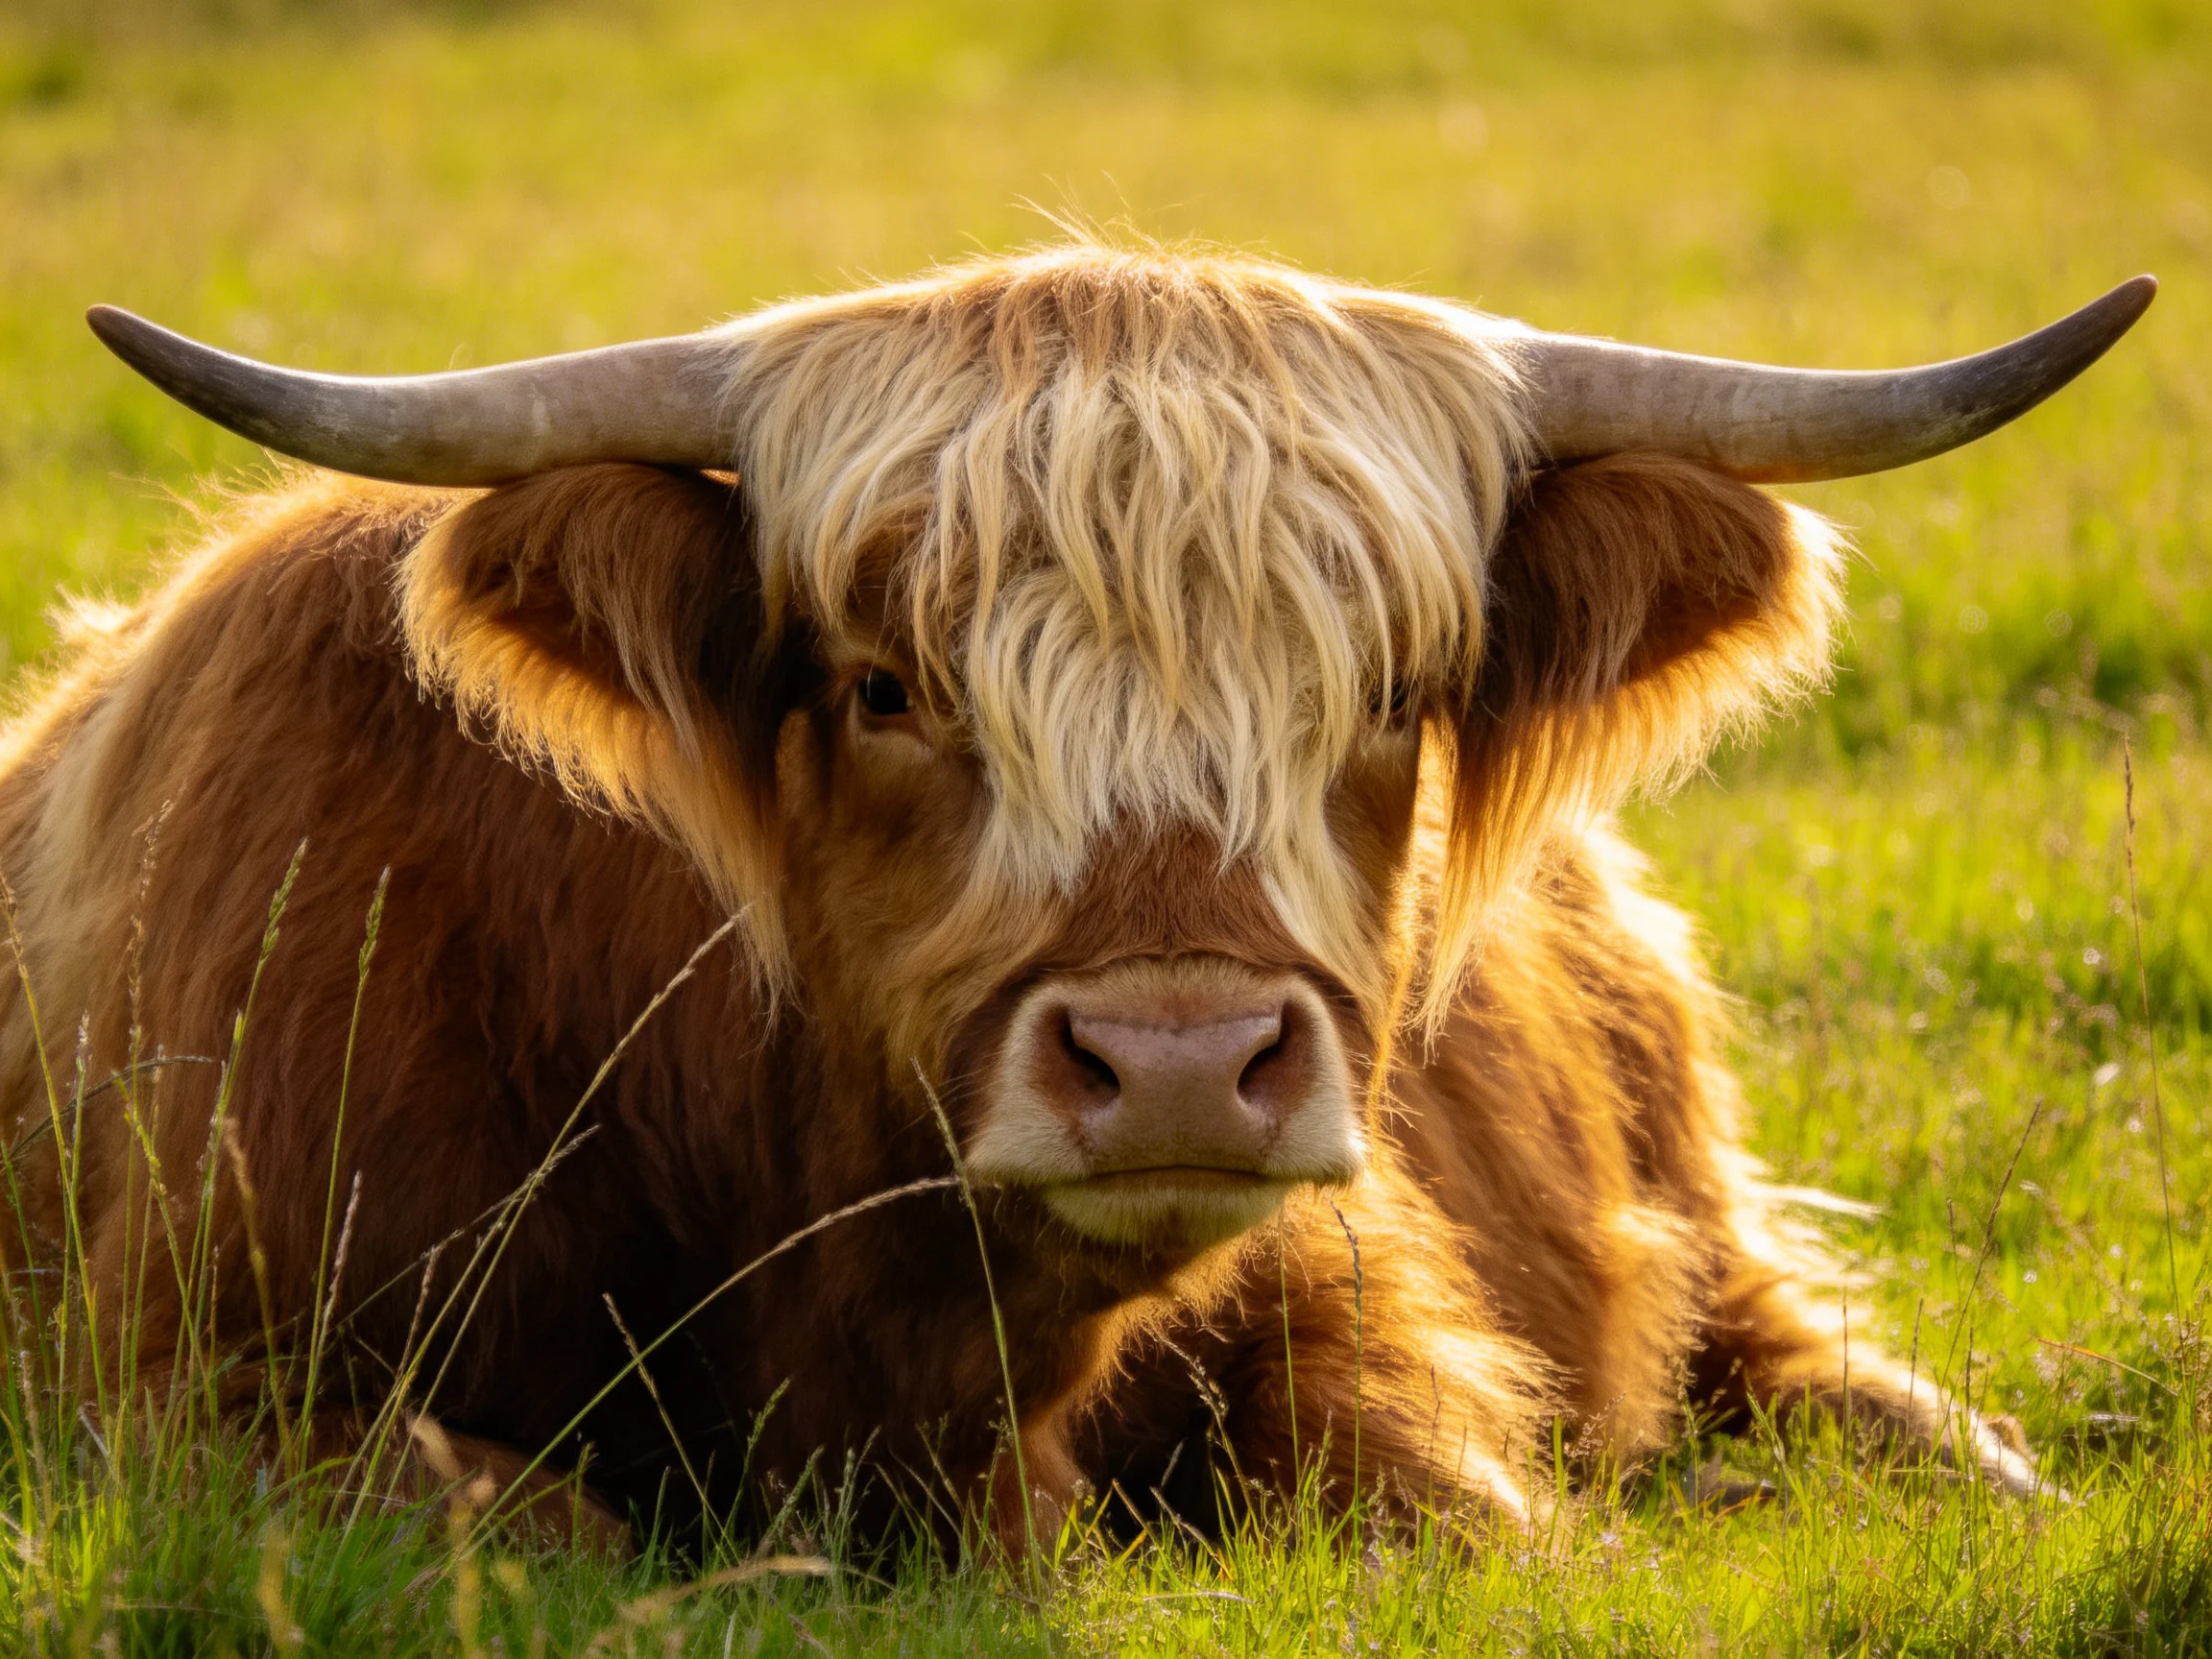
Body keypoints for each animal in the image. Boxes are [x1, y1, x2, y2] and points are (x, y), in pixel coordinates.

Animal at [0, 246, 2152, 1552]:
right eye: (883, 683)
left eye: (1389, 692)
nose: (1182, 1063)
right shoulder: (202, 1383)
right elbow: (509, 1518)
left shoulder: (1367, 1325)